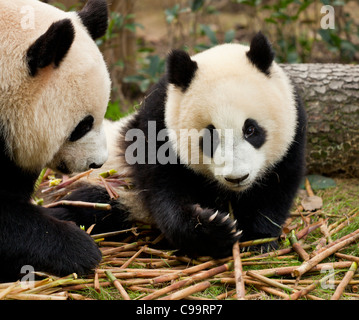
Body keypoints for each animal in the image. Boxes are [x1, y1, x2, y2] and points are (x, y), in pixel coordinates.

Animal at [51, 31, 310, 258]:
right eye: (210, 137)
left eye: (251, 129)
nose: (237, 178)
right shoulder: (156, 130)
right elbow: (164, 194)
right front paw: (215, 229)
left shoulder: (294, 132)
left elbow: (278, 187)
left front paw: (258, 240)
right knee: (89, 204)